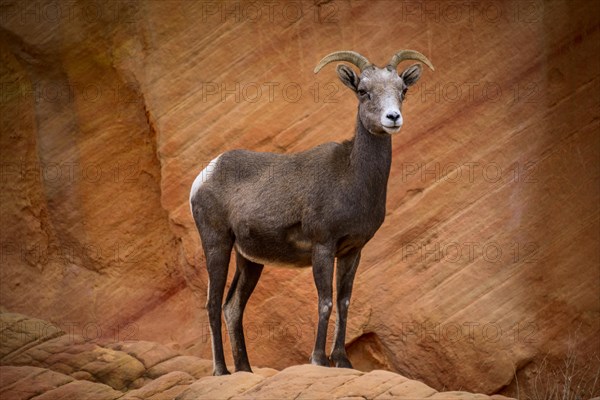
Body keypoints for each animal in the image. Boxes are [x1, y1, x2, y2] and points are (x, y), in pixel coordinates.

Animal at [190, 49, 434, 376]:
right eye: (363, 91)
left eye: (403, 90)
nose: (392, 118)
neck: (350, 177)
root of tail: (206, 174)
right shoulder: (323, 246)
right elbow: (325, 302)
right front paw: (318, 359)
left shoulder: (352, 251)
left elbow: (344, 303)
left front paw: (342, 361)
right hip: (217, 244)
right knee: (213, 304)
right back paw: (222, 371)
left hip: (249, 260)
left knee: (233, 307)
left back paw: (246, 370)